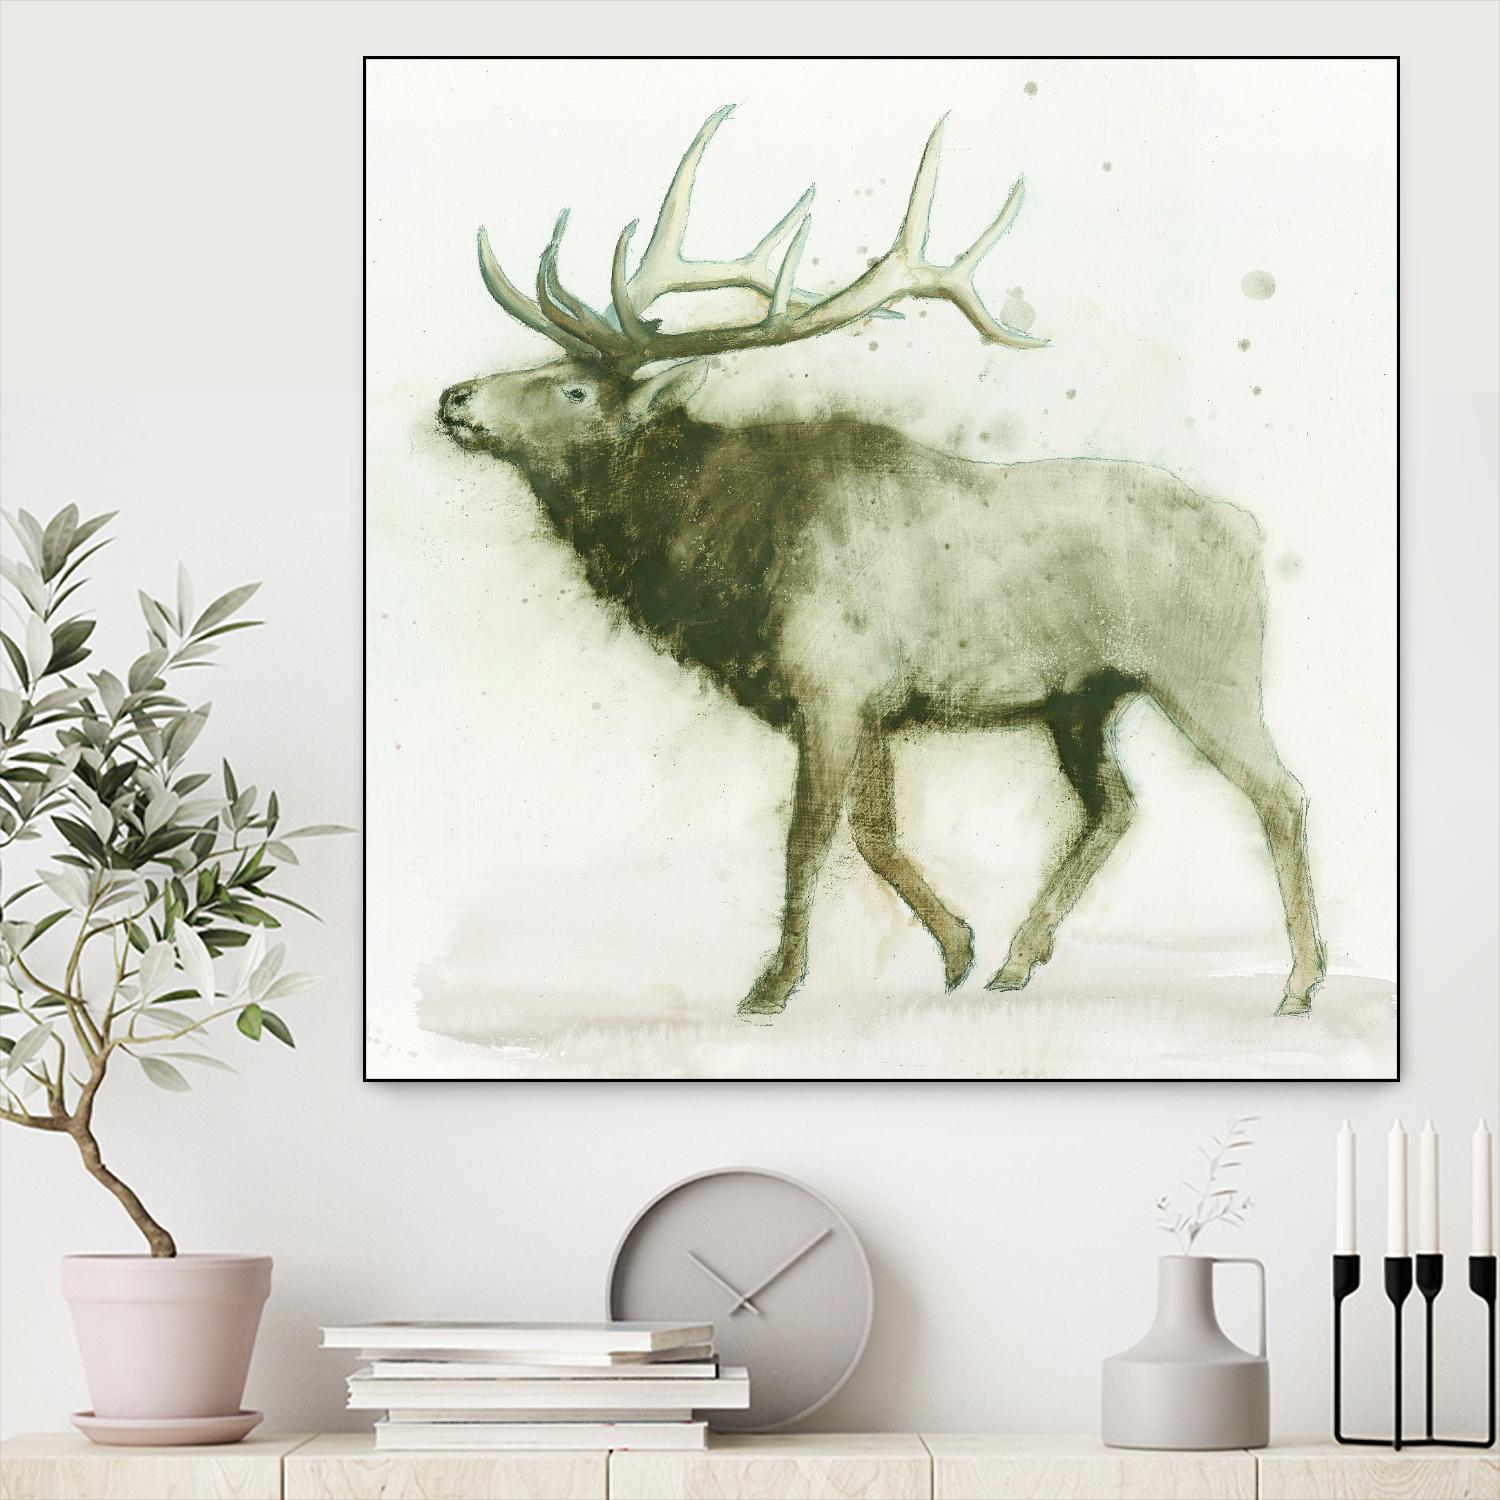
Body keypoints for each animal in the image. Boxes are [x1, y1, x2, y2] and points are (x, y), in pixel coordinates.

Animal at [437, 106, 1326, 1021]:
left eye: (574, 389)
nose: (454, 398)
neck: (722, 567)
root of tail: (1249, 533)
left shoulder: (832, 685)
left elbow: (808, 839)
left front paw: (773, 984)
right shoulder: (876, 706)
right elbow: (874, 833)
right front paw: (959, 947)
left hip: (1204, 668)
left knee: (1280, 792)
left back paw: (1299, 982)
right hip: (1081, 699)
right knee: (1116, 806)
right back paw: (1020, 957)